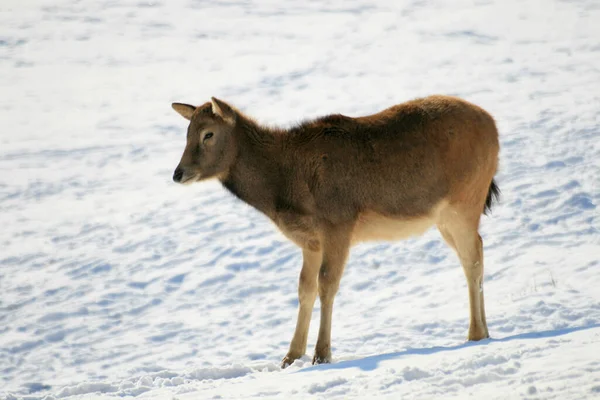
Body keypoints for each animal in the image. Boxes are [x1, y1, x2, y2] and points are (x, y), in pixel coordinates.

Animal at [171, 95, 500, 368]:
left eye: (208, 134)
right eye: (186, 134)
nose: (178, 173)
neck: (285, 189)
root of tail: (494, 128)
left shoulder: (339, 224)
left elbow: (327, 284)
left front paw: (322, 354)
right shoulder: (310, 242)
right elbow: (304, 288)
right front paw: (290, 356)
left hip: (465, 200)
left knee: (472, 258)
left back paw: (474, 332)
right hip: (444, 217)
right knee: (478, 250)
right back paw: (484, 331)